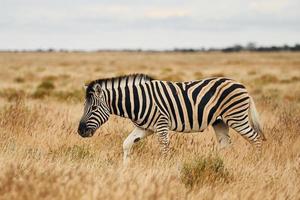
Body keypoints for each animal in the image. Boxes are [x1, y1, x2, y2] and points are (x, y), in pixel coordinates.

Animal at [77, 73, 264, 162]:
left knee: (256, 139)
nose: (80, 131)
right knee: (226, 144)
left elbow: (165, 148)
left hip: (236, 117)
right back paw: (221, 163)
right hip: (220, 122)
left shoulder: (161, 124)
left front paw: (165, 169)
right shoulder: (145, 128)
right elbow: (126, 144)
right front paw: (125, 169)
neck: (137, 101)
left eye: (94, 108)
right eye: (84, 107)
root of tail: (242, 85)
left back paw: (257, 162)